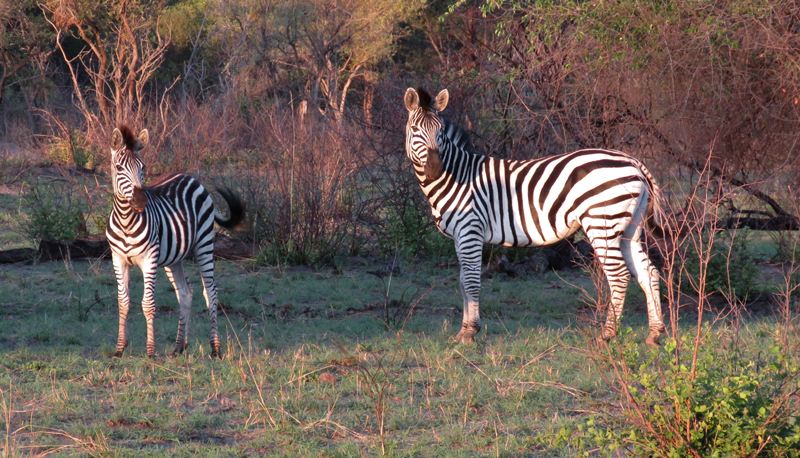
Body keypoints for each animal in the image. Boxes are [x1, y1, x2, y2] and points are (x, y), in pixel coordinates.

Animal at [106, 125, 244, 358]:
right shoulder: (118, 259)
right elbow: (123, 303)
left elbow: (148, 304)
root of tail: (190, 177)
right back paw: (179, 346)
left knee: (211, 292)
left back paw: (215, 348)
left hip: (204, 244)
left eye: (142, 167)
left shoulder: (149, 259)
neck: (126, 220)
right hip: (174, 257)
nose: (140, 201)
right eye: (119, 167)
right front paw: (119, 349)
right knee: (185, 292)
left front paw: (151, 352)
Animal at [404, 88, 664, 348]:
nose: (434, 168)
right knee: (648, 272)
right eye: (415, 129)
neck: (457, 176)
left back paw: (607, 334)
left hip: (602, 223)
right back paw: (655, 333)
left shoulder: (470, 230)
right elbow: (461, 281)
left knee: (619, 275)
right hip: (629, 228)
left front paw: (470, 332)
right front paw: (463, 331)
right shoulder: (460, 236)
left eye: (440, 131)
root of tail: (634, 161)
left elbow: (470, 280)